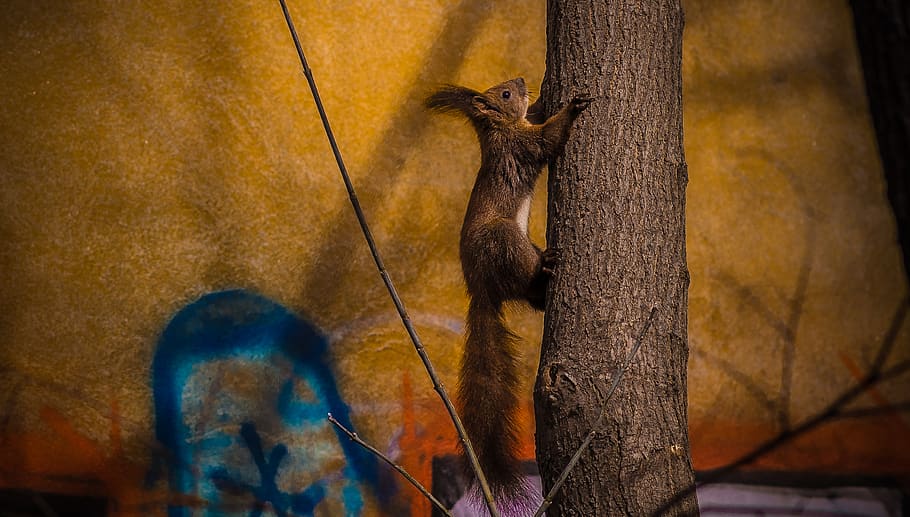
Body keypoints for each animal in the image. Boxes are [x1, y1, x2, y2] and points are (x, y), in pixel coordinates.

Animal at [426, 77, 592, 510]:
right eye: (503, 95)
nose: (519, 81)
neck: (499, 130)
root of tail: (481, 289)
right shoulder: (521, 147)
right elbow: (548, 141)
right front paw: (571, 107)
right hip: (505, 242)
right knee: (526, 280)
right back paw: (546, 268)